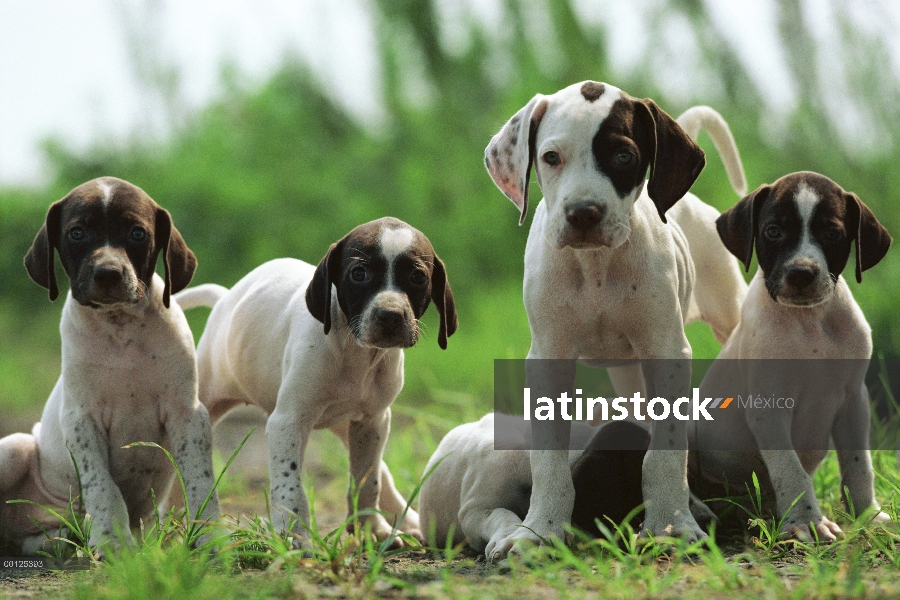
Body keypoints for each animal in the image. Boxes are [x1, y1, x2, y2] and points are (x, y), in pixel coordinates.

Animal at [0, 176, 218, 556]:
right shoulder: (82, 421)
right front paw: (112, 542)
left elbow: (200, 483)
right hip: (13, 448)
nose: (109, 273)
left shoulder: (188, 414)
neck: (121, 329)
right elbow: (102, 486)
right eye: (77, 233)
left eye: (137, 233)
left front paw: (209, 540)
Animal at [174, 217, 458, 548]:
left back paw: (410, 521)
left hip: (347, 425)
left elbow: (368, 480)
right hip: (206, 399)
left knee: (382, 472)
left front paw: (372, 530)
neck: (355, 354)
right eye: (359, 274)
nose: (390, 315)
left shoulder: (373, 422)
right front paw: (296, 538)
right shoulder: (288, 422)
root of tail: (225, 298)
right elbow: (291, 486)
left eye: (417, 277)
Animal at [482, 79, 748, 556]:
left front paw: (672, 526)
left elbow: (665, 452)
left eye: (623, 157)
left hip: (728, 315)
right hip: (629, 372)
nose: (583, 213)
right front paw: (539, 531)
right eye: (551, 157)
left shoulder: (666, 352)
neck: (597, 267)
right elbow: (548, 459)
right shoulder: (549, 358)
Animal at [688, 171, 892, 540]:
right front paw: (807, 522)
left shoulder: (854, 401)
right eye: (773, 231)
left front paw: (868, 515)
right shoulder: (768, 409)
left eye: (832, 233)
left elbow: (859, 465)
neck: (808, 322)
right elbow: (791, 470)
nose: (801, 273)